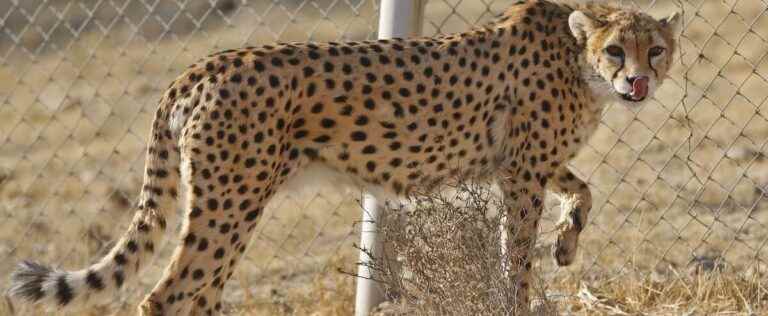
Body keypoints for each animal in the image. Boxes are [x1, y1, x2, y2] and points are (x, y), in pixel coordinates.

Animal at [7, 1, 680, 314]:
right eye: (616, 50)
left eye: (657, 49)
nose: (638, 83)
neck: (577, 62)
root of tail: (201, 65)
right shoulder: (519, 173)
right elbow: (514, 256)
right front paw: (521, 290)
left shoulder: (525, 164)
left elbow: (584, 189)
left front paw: (566, 244)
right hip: (231, 201)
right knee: (168, 294)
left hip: (231, 205)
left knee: (200, 291)